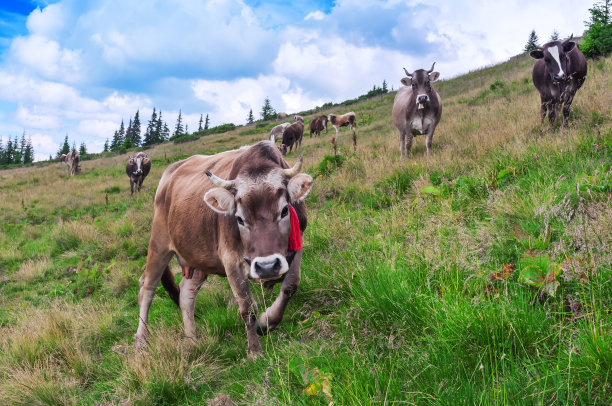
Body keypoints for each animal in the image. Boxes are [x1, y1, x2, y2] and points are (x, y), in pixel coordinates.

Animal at [136, 141, 314, 356]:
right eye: (239, 218)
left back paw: (192, 340)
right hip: (159, 244)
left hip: (198, 257)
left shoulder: (297, 246)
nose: (267, 266)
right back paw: (141, 340)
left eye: (285, 210)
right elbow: (247, 308)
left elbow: (290, 285)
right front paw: (254, 351)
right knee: (147, 287)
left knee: (186, 293)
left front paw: (267, 322)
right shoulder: (231, 261)